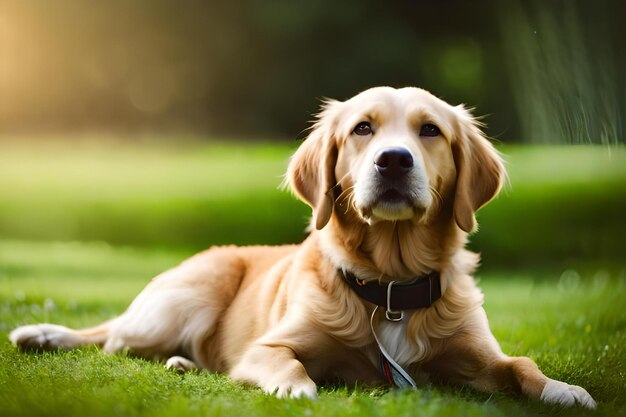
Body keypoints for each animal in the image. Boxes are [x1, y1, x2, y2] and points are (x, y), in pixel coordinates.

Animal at [9, 86, 596, 408]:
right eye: (363, 129)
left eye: (430, 131)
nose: (394, 161)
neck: (390, 287)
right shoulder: (268, 345)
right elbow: (286, 362)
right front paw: (296, 387)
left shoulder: (478, 356)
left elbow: (521, 364)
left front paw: (562, 389)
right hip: (189, 295)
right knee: (110, 340)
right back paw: (52, 335)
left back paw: (181, 364)